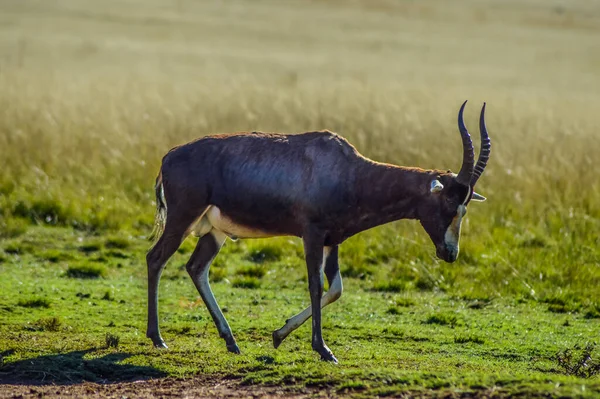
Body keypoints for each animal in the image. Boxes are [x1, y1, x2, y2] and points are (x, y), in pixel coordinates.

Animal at [146, 100, 492, 362]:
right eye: (449, 202)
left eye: (465, 206)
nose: (450, 253)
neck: (349, 170)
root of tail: (168, 157)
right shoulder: (311, 235)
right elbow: (315, 285)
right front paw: (324, 350)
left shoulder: (332, 240)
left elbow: (335, 288)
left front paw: (278, 335)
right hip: (182, 219)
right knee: (155, 258)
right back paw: (158, 338)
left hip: (215, 232)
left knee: (196, 267)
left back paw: (231, 341)